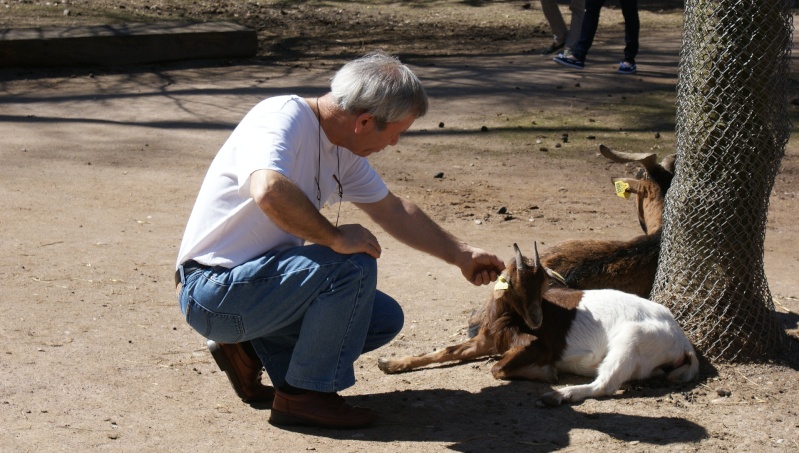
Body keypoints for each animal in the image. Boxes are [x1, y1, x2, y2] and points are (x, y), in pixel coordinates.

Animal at [378, 244, 696, 406]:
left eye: (543, 284)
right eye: (513, 283)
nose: (536, 320)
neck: (507, 315)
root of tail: (683, 342)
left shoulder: (535, 346)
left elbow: (497, 368)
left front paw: (547, 373)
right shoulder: (485, 340)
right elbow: (446, 350)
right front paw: (390, 362)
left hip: (631, 339)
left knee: (605, 384)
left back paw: (557, 395)